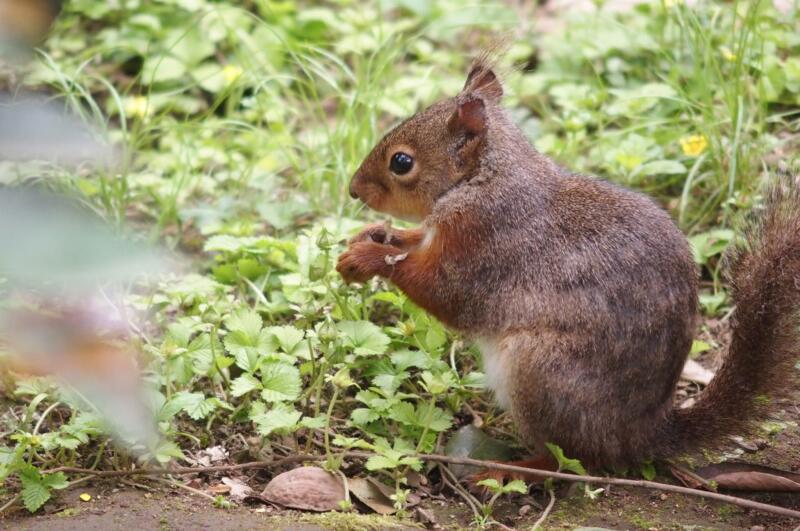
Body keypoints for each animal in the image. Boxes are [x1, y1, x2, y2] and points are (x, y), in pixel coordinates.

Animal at [336, 55, 800, 470]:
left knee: (570, 460)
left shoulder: (484, 245)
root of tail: (640, 435)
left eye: (401, 162)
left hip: (540, 371)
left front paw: (368, 257)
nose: (353, 190)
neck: (483, 180)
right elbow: (414, 242)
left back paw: (508, 470)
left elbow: (444, 292)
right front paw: (371, 236)